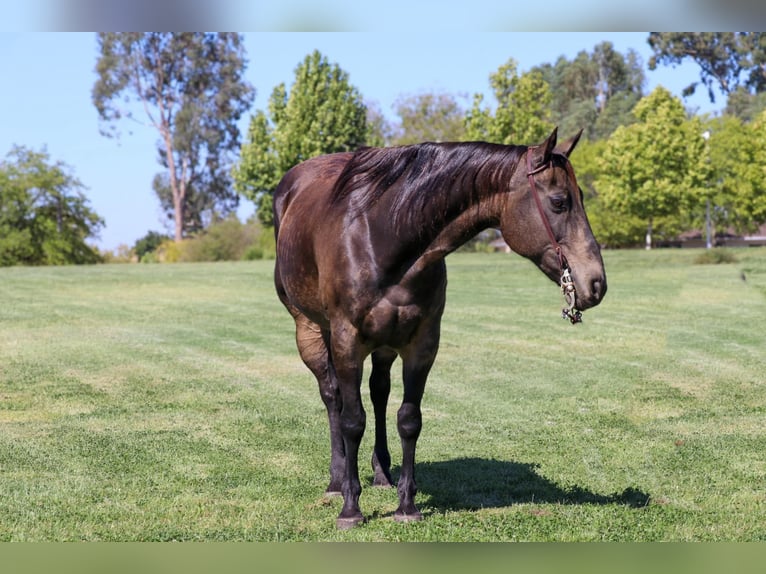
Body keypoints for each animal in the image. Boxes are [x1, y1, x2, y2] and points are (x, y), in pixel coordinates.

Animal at [272, 128, 608, 528]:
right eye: (559, 202)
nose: (596, 283)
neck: (381, 236)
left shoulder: (422, 344)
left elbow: (408, 419)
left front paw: (406, 505)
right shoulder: (347, 341)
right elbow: (353, 420)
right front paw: (351, 509)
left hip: (384, 345)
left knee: (379, 392)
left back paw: (382, 473)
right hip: (310, 330)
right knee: (332, 397)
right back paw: (338, 481)